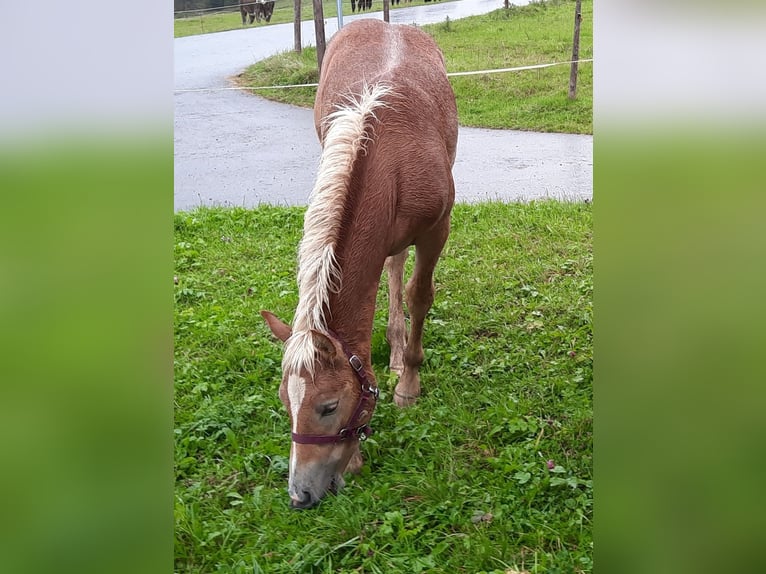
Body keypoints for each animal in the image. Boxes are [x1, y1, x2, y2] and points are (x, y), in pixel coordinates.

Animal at [260, 20, 460, 510]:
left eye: (328, 406)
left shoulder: (437, 229)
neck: (389, 151)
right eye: (286, 403)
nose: (300, 495)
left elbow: (419, 296)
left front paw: (408, 384)